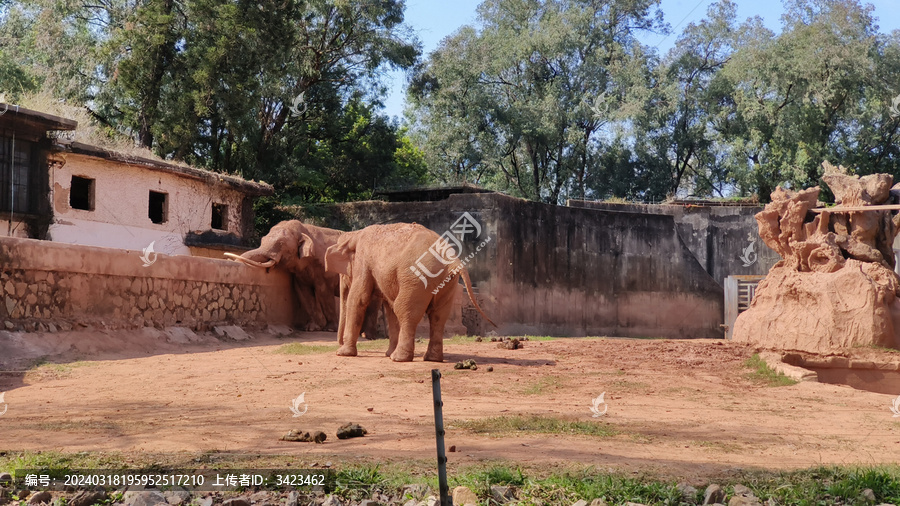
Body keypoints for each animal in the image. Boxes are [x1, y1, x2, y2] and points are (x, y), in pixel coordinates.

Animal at [326, 223, 496, 362]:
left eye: (343, 273)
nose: (338, 344)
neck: (355, 234)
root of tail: (453, 260)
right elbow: (389, 308)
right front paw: (387, 353)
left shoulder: (364, 260)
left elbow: (358, 298)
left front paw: (343, 354)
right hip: (447, 283)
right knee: (438, 316)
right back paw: (431, 358)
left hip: (417, 278)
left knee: (405, 311)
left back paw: (398, 358)